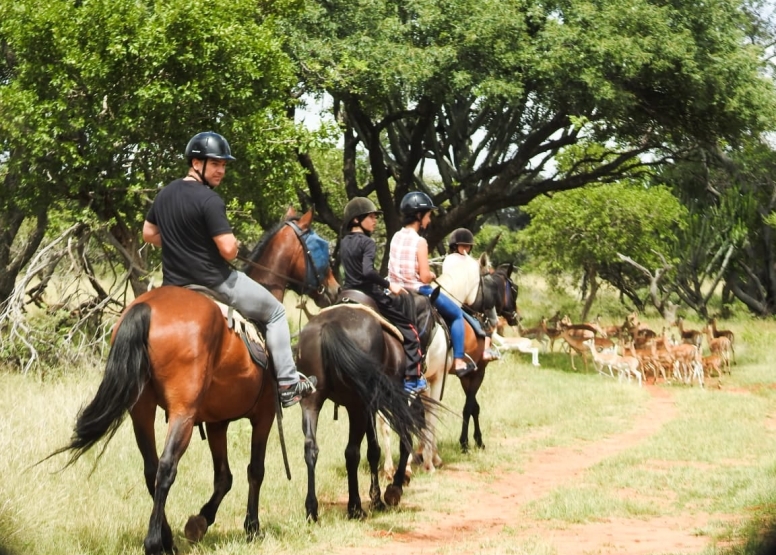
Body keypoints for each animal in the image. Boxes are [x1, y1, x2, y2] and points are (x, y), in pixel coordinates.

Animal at [50, 210, 338, 555]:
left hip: (141, 410)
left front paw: (200, 521)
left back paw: (167, 537)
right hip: (183, 414)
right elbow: (255, 470)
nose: (334, 290)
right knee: (165, 468)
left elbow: (224, 477)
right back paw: (154, 542)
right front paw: (251, 527)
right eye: (322, 248)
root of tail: (146, 308)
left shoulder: (216, 423)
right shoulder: (264, 414)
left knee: (151, 468)